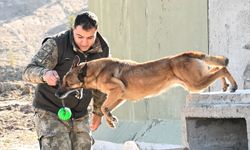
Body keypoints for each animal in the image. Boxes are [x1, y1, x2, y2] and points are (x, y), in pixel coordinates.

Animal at [55, 50, 237, 127]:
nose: (56, 93)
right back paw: (226, 85)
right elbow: (105, 109)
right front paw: (111, 120)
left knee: (222, 68)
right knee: (217, 68)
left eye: (68, 83)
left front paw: (111, 119)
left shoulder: (117, 91)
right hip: (196, 81)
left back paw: (233, 85)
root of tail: (187, 53)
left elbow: (105, 107)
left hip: (195, 84)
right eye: (63, 81)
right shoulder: (120, 96)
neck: (92, 71)